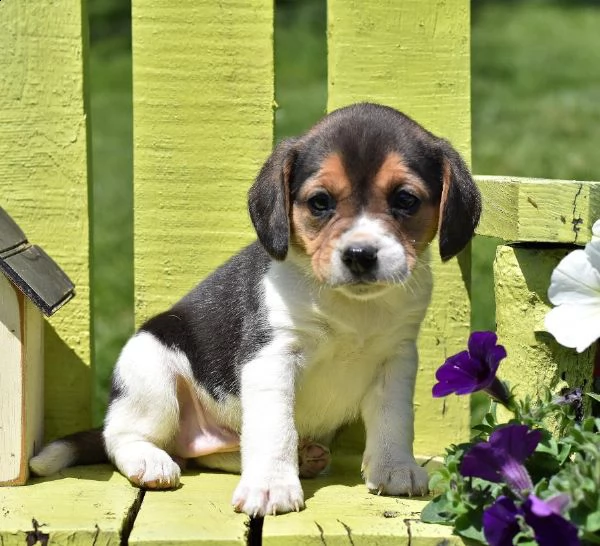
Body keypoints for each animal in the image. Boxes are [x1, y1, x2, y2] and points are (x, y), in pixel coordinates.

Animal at [31, 102, 482, 516]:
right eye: (320, 202)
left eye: (405, 199)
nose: (360, 255)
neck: (349, 306)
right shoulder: (272, 357)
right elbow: (274, 429)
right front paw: (271, 486)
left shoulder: (396, 360)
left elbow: (393, 420)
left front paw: (394, 468)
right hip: (150, 371)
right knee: (121, 436)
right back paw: (150, 460)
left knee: (215, 452)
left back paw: (302, 458)